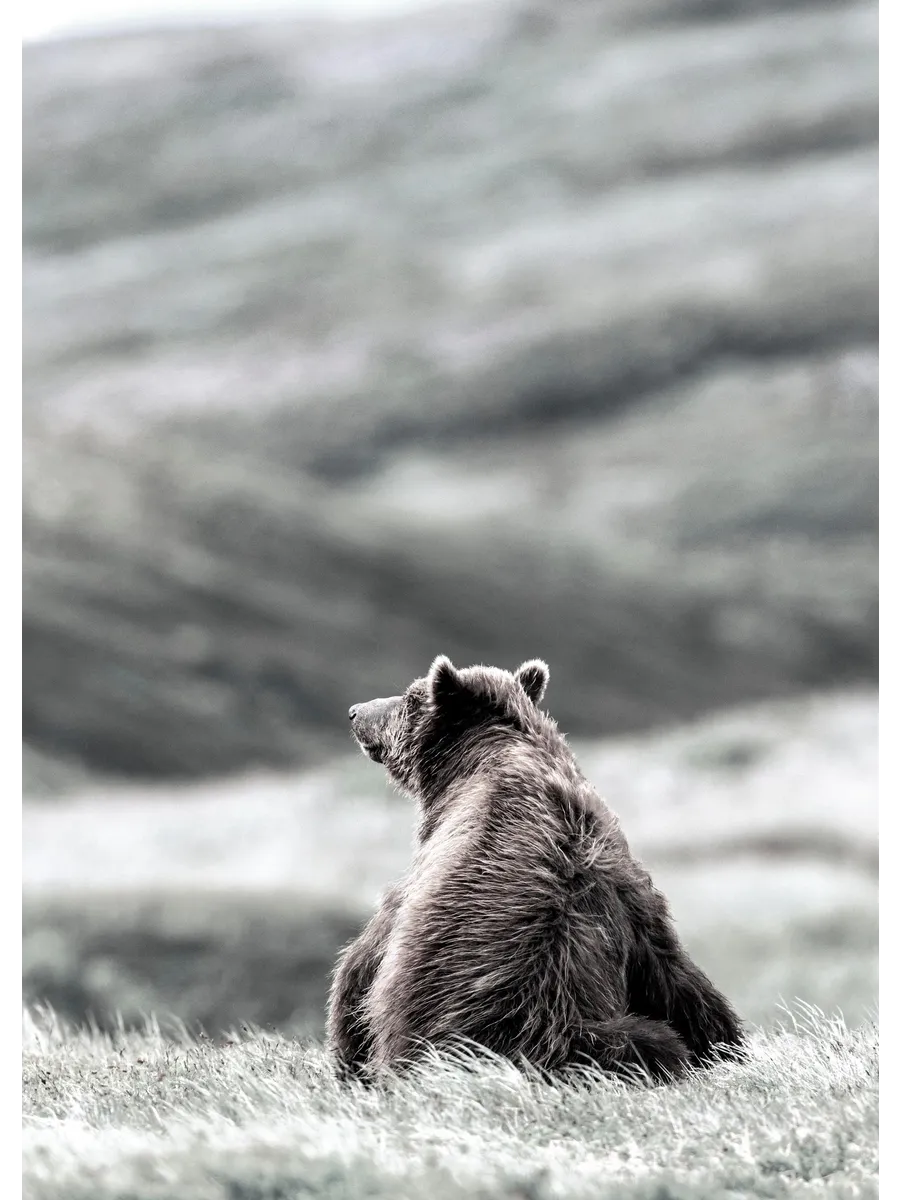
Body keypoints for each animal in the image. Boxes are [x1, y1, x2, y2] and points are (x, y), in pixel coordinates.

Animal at [327, 656, 744, 1083]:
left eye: (411, 697)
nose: (356, 711)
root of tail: (551, 1028)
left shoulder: (427, 876)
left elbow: (362, 962)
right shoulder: (630, 883)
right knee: (679, 1015)